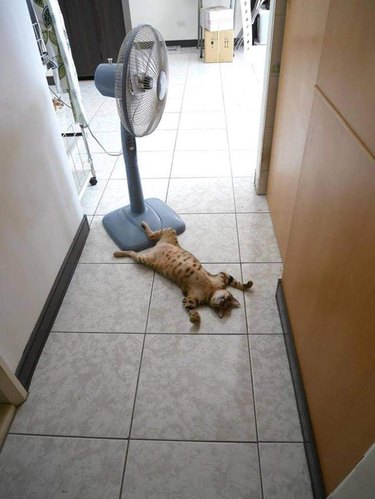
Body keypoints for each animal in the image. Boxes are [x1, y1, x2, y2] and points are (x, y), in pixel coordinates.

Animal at [112, 223, 253, 324]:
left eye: (225, 304)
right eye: (227, 298)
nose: (223, 299)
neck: (212, 289)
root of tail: (155, 248)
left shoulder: (189, 299)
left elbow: (190, 308)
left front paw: (195, 317)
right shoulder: (222, 275)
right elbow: (236, 282)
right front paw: (248, 284)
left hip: (145, 258)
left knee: (135, 250)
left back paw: (120, 251)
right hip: (169, 231)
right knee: (147, 238)